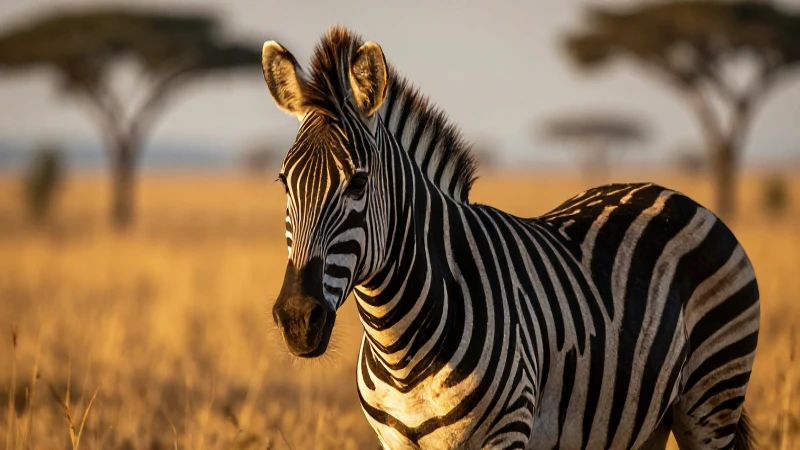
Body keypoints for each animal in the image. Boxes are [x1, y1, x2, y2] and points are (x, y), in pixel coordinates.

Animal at [262, 26, 759, 449]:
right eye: (284, 182)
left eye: (359, 183)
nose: (297, 319)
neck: (399, 346)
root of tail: (669, 193)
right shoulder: (394, 441)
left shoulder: (508, 429)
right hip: (645, 423)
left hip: (711, 397)